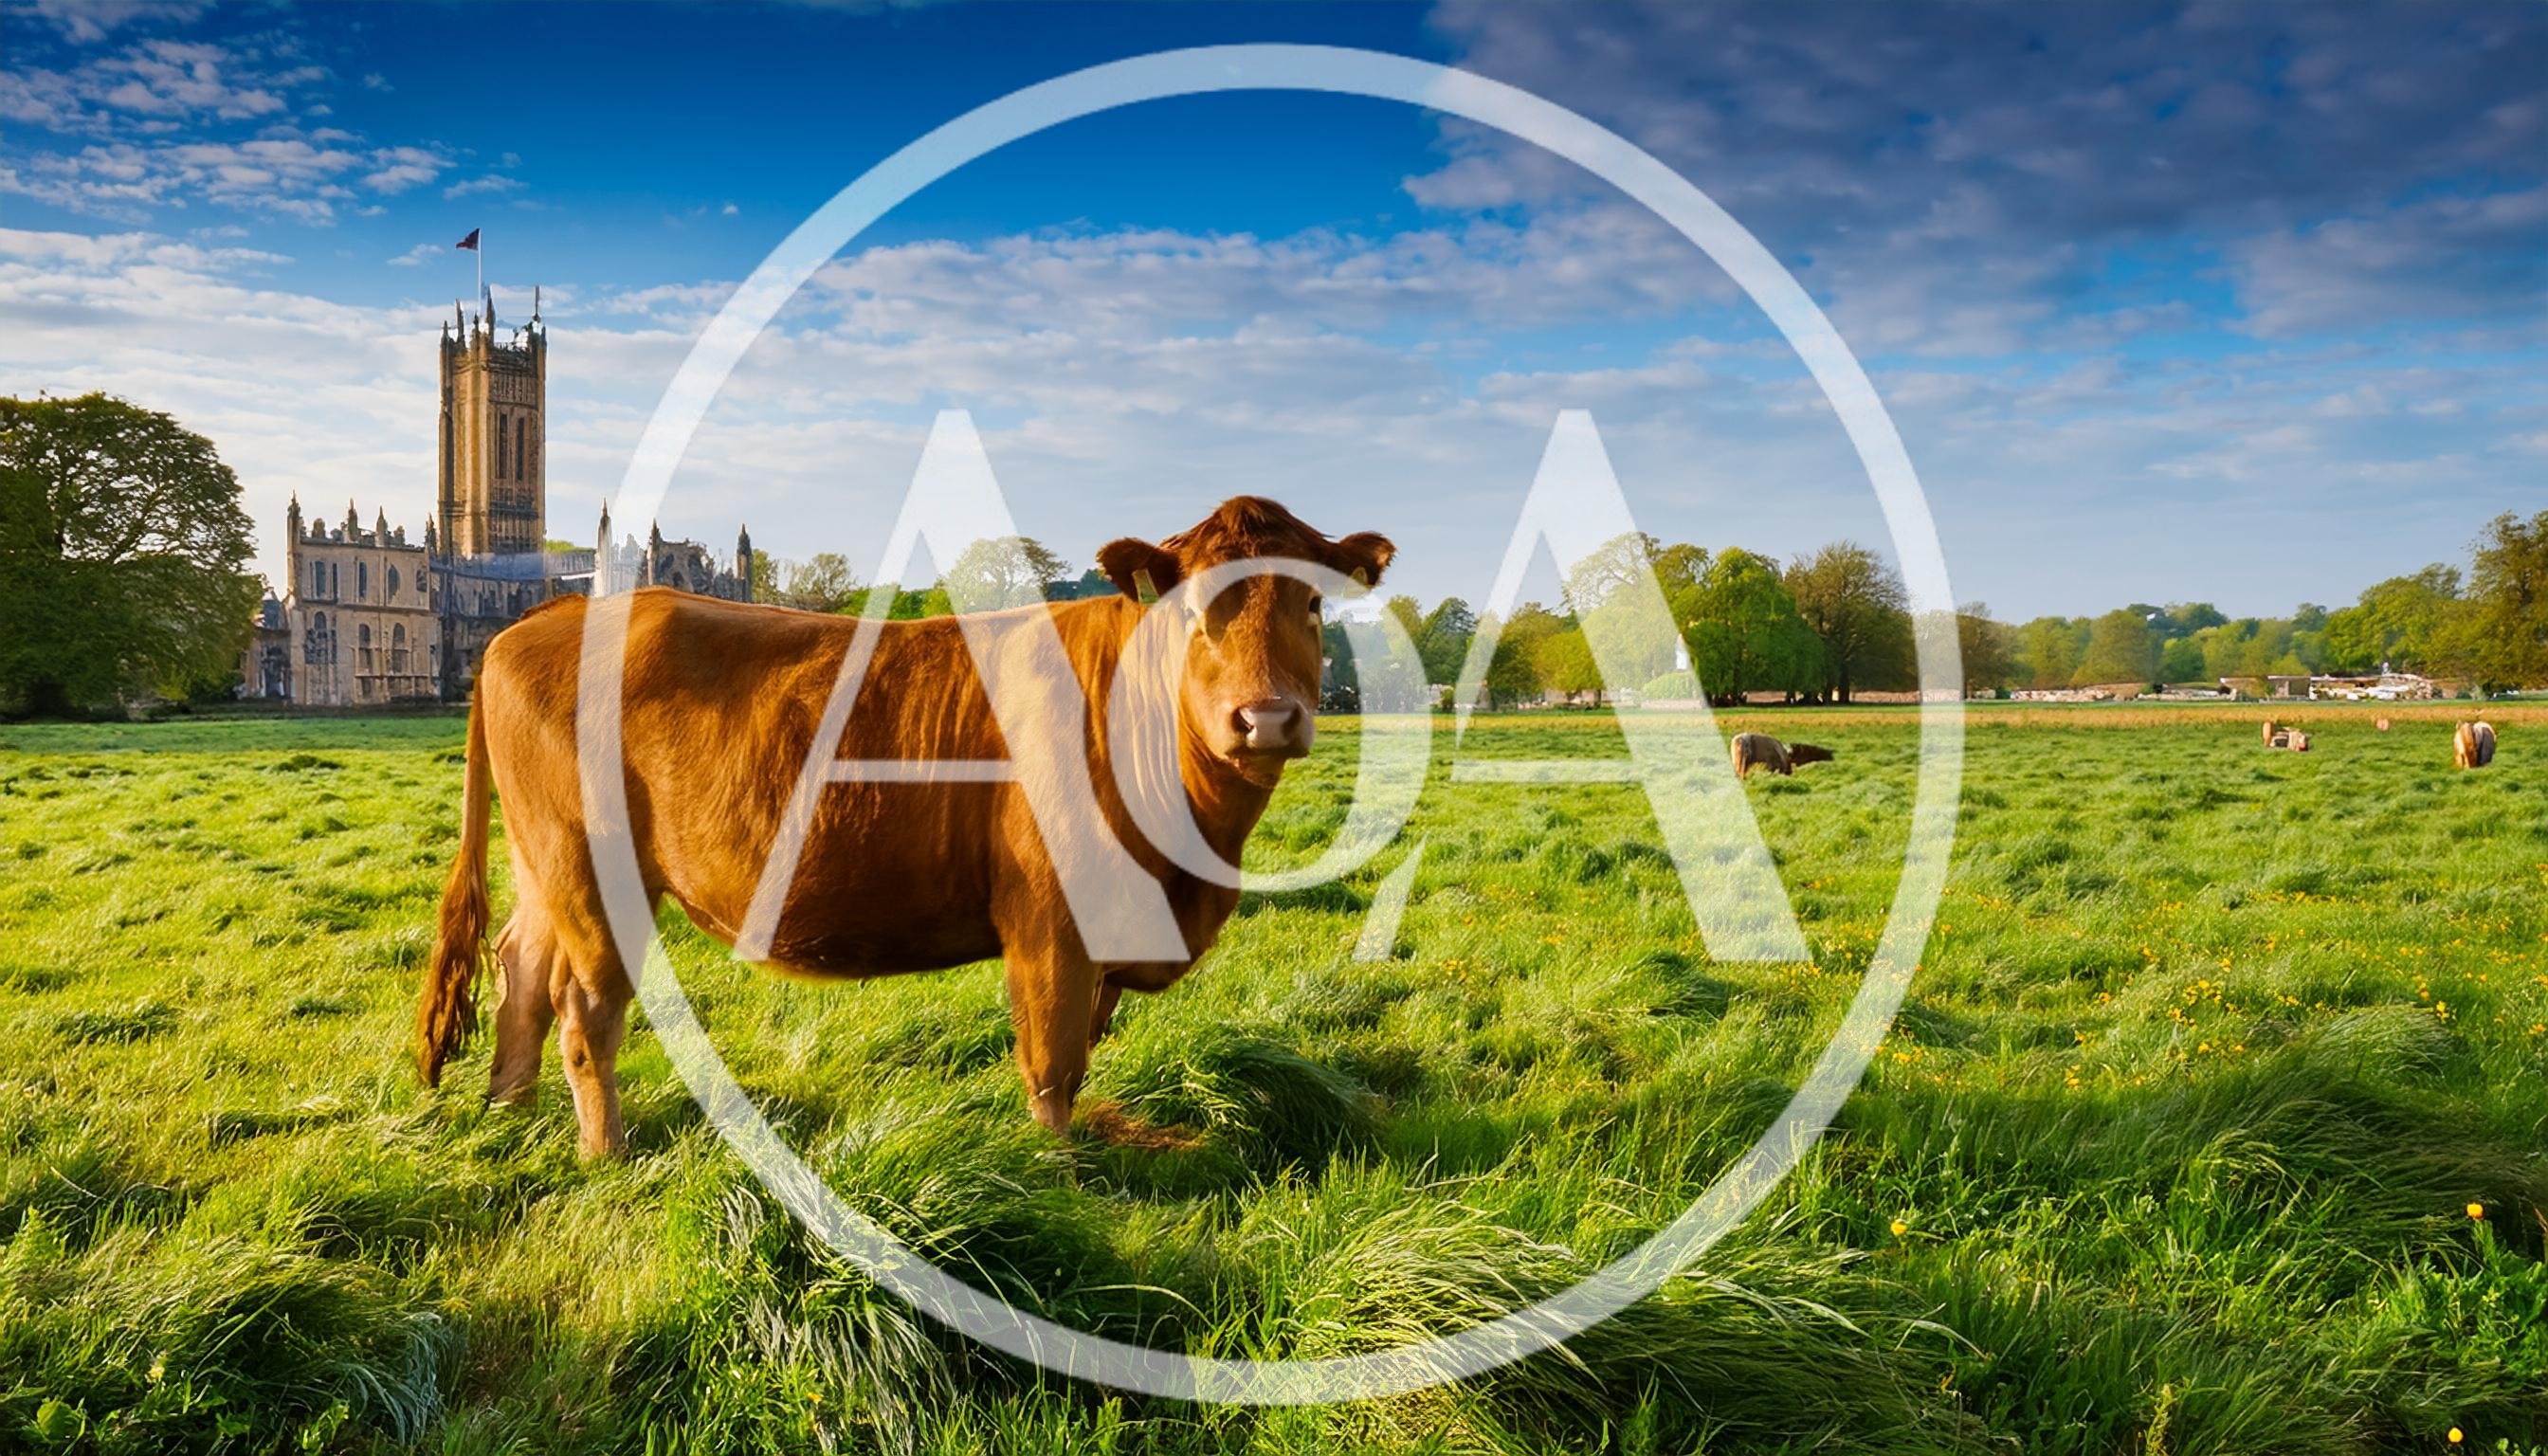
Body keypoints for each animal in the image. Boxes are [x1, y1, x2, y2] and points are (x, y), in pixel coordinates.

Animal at [416, 496, 1394, 1157]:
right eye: (1194, 607)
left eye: (1314, 605)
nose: (1264, 719)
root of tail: (545, 616)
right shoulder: (1051, 925)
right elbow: (1052, 1066)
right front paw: (1059, 1183)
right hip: (590, 875)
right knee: (585, 1010)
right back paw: (604, 1154)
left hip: (544, 866)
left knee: (521, 973)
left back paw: (509, 1115)